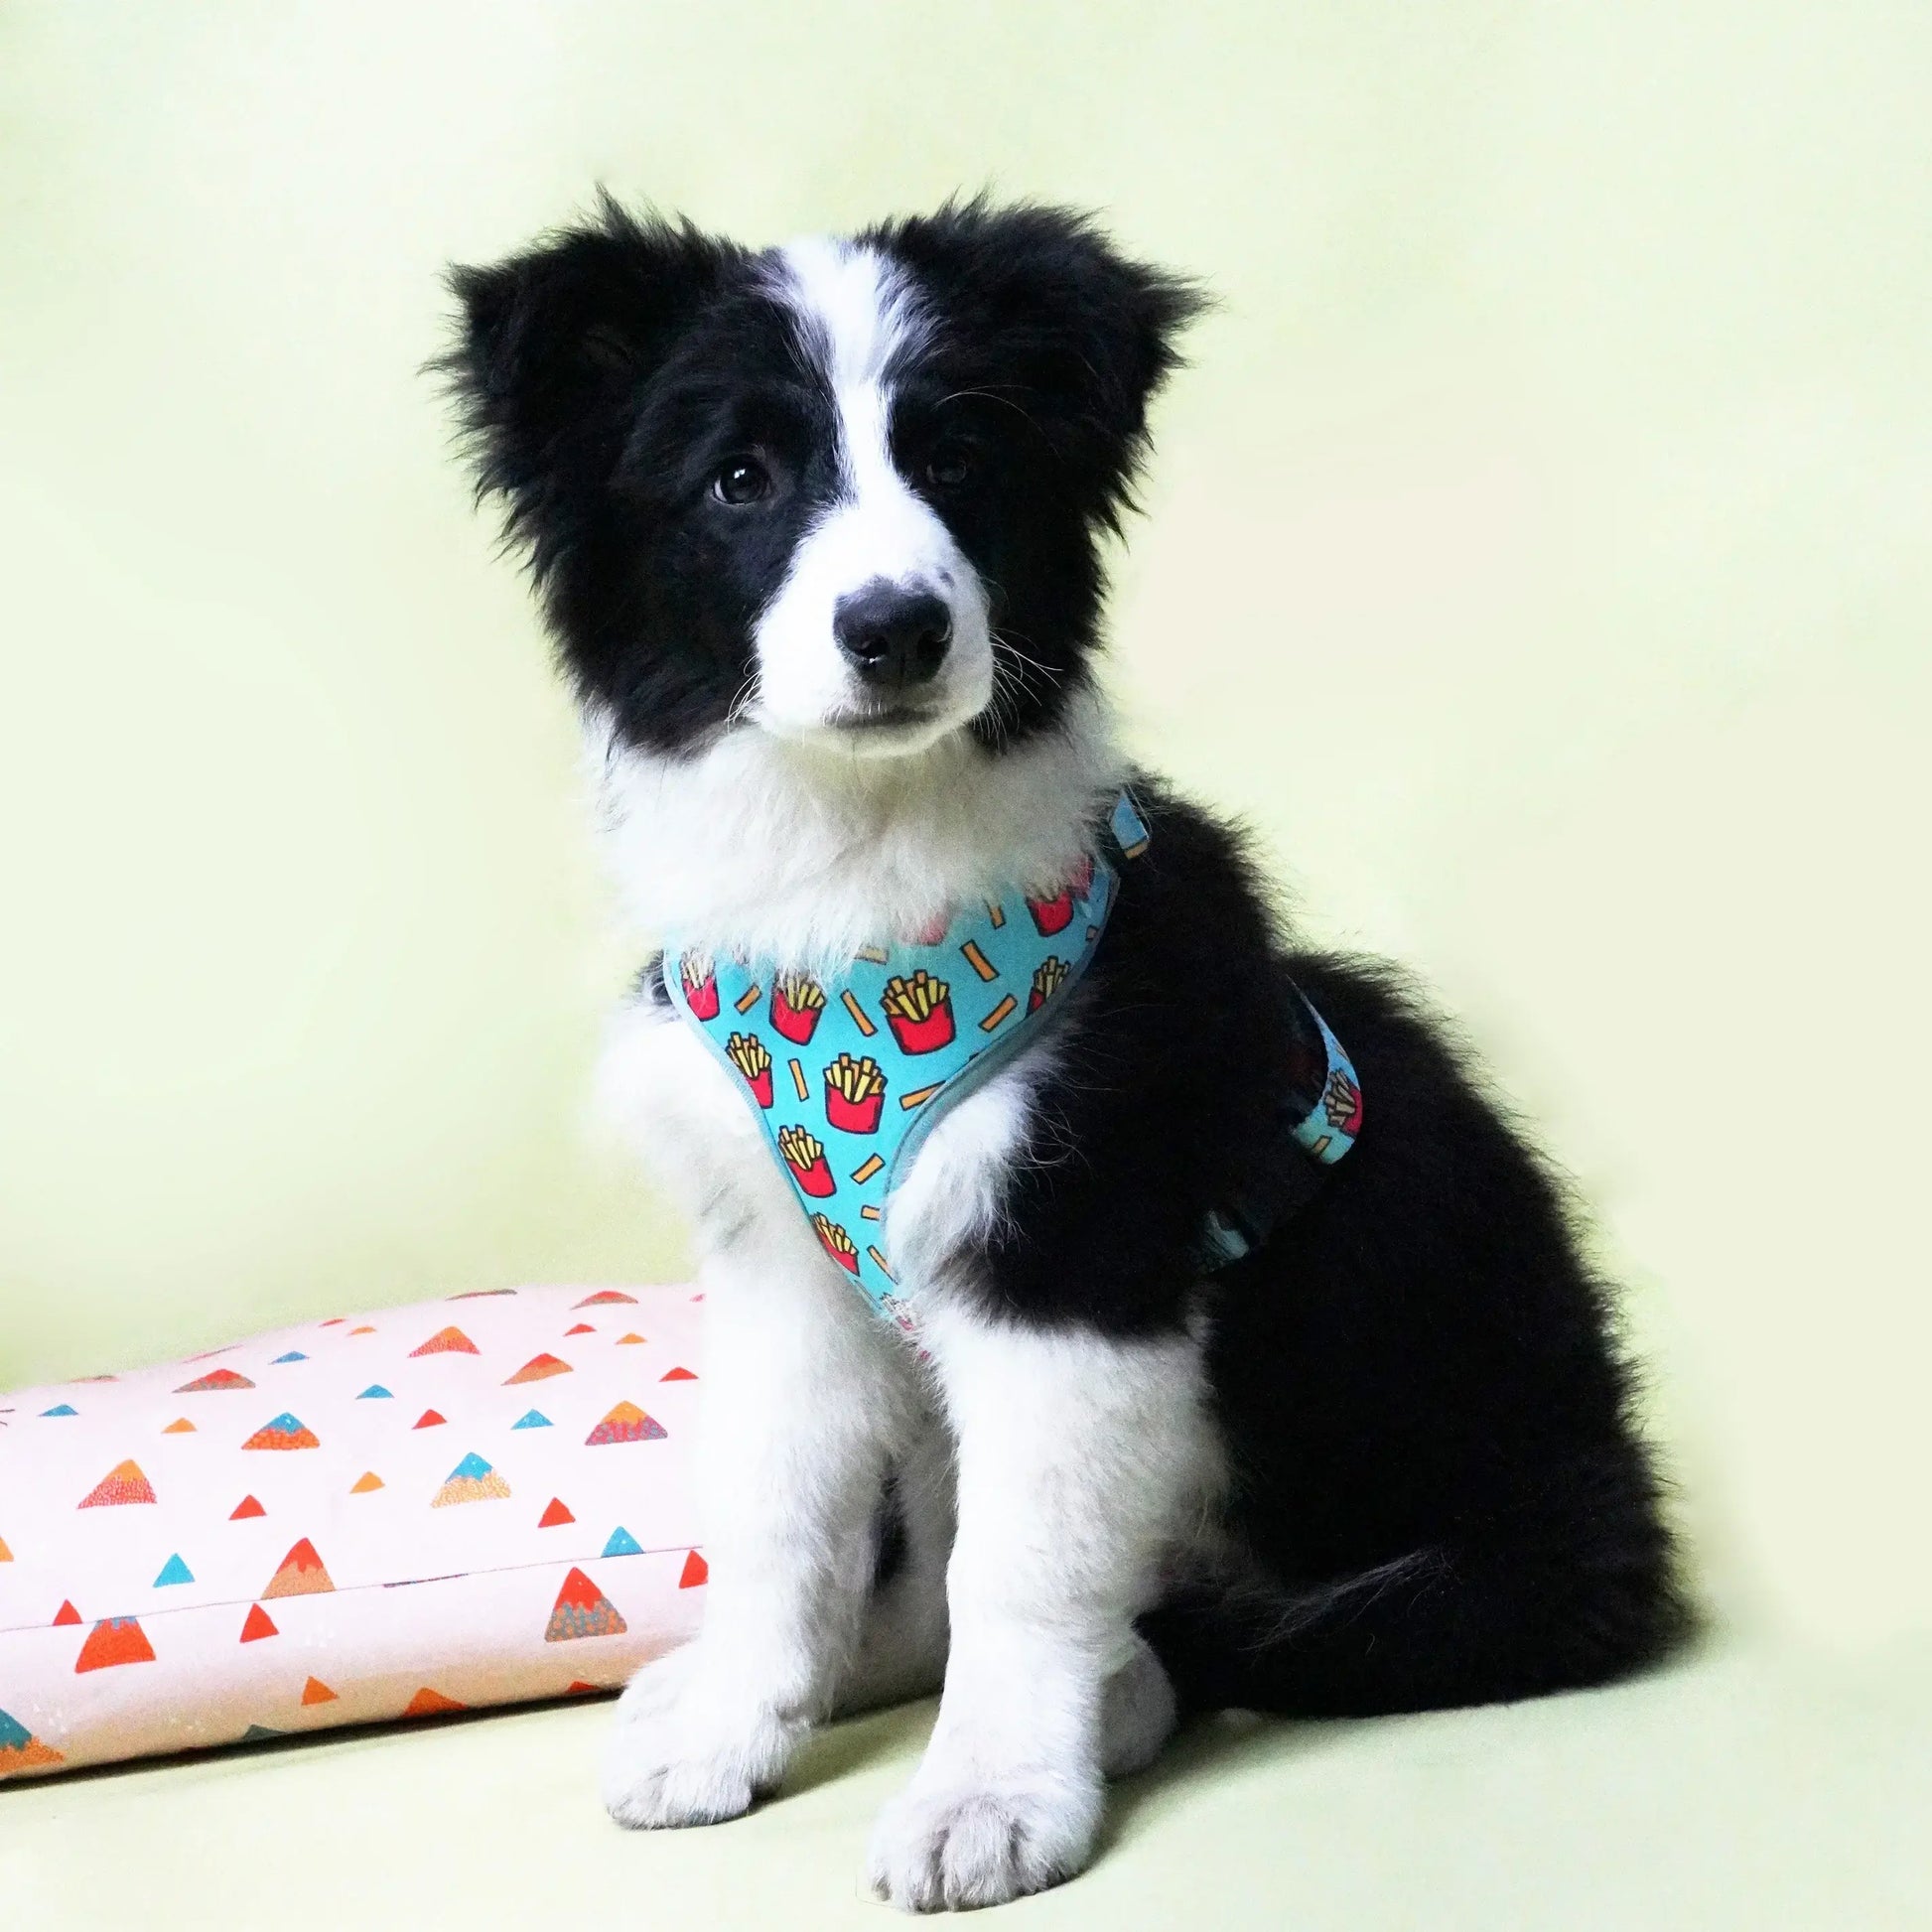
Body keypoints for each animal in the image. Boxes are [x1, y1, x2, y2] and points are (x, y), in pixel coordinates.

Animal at [444, 196, 1684, 1900]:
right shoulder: (784, 1271)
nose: (897, 628)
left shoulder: (1077, 1258)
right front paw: (732, 1728)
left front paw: (991, 1797)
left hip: (1469, 1559)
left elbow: (1019, 1567)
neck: (858, 879)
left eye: (962, 454)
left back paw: (1125, 1692)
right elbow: (775, 1513)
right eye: (739, 476)